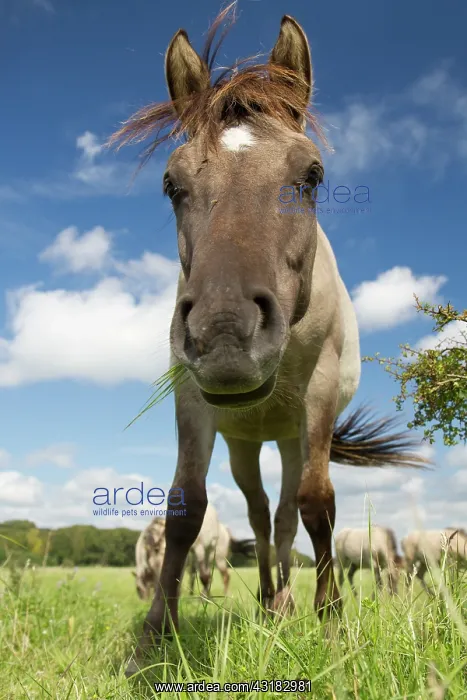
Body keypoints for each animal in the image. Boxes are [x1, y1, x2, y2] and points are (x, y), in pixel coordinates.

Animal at [109, 5, 428, 672]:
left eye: (312, 175)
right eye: (172, 185)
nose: (225, 333)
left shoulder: (319, 397)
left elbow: (317, 505)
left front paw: (332, 628)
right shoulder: (193, 399)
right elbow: (185, 509)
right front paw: (153, 639)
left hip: (289, 437)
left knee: (285, 517)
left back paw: (285, 604)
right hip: (244, 444)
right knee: (259, 517)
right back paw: (267, 603)